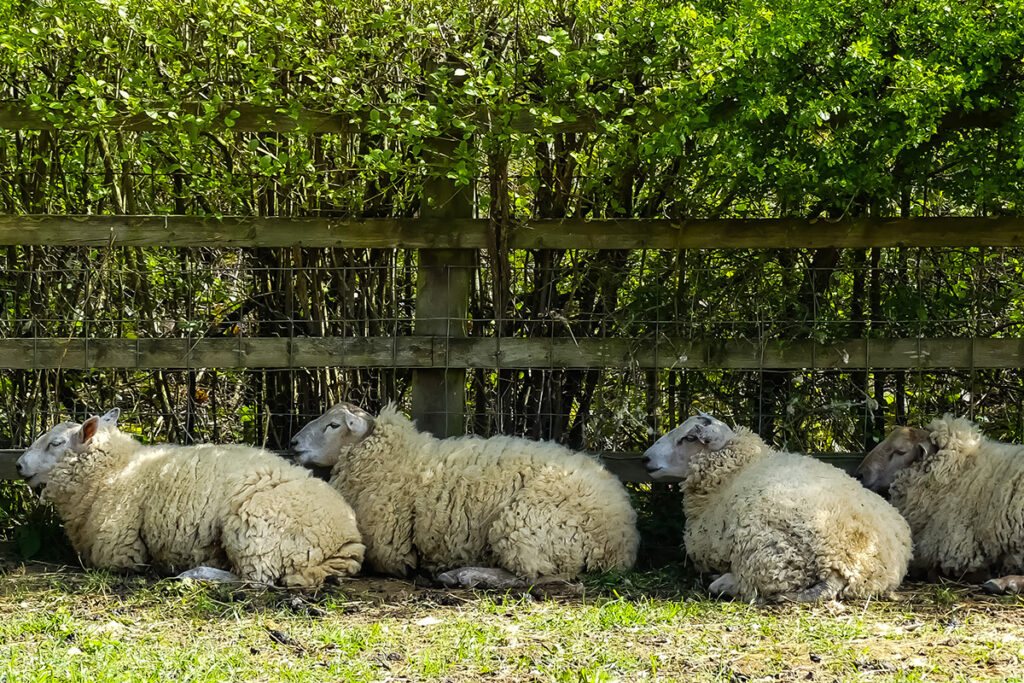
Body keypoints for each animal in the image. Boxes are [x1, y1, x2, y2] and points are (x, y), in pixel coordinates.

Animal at [16, 405, 364, 589]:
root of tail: (348, 541)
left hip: (255, 530)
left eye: (56, 443)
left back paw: (193, 575)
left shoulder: (120, 551)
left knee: (254, 580)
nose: (18, 465)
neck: (116, 470)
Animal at [288, 401, 634, 589]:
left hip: (527, 525)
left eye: (334, 425)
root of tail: (623, 540)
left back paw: (463, 575)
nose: (293, 443)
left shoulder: (390, 551)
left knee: (530, 575)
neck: (399, 458)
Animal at [638, 411, 913, 602]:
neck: (737, 471)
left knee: (757, 585)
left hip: (767, 553)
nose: (645, 459)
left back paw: (722, 582)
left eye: (689, 438)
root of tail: (845, 563)